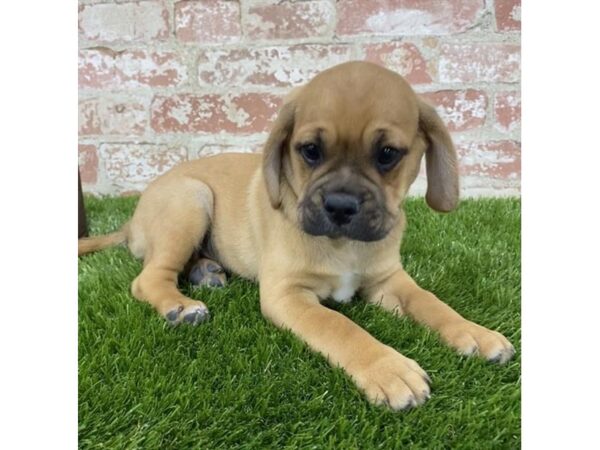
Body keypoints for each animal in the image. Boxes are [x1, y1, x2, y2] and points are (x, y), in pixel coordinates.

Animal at [77, 61, 512, 410]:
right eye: (310, 151)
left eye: (388, 153)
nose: (340, 206)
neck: (344, 246)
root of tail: (132, 220)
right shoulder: (287, 295)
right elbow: (340, 325)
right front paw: (389, 369)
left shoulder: (389, 281)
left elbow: (431, 301)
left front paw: (475, 333)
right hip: (191, 199)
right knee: (148, 277)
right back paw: (181, 305)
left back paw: (206, 272)